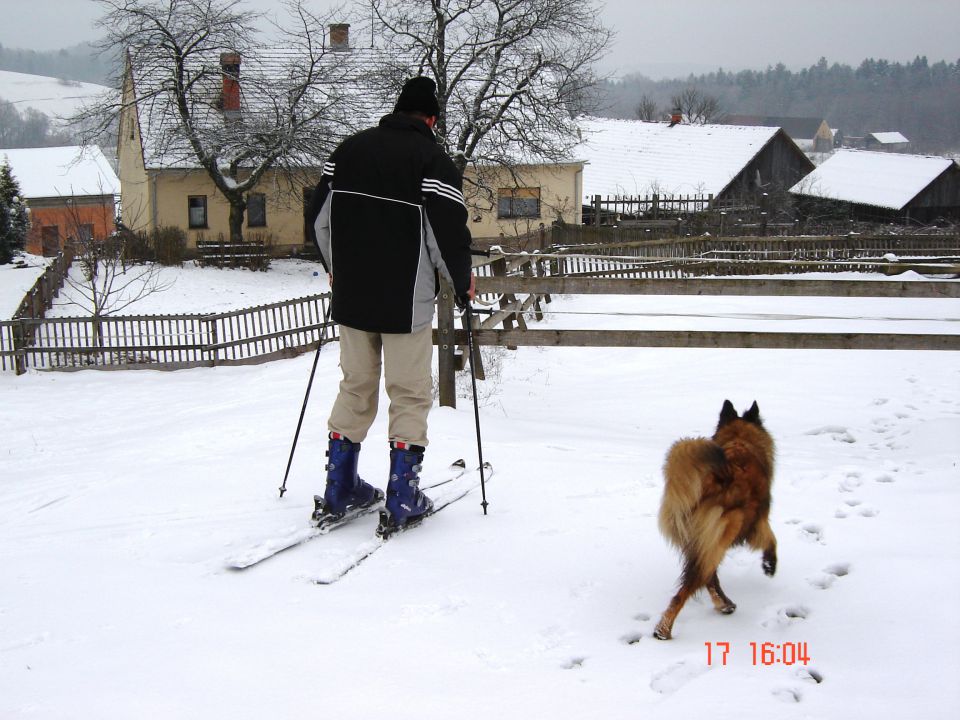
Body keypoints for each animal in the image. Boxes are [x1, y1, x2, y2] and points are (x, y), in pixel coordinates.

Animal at [652, 400, 780, 640]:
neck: (740, 439)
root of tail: (714, 479)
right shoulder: (758, 520)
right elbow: (771, 539)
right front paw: (769, 565)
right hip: (724, 531)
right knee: (689, 586)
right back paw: (663, 630)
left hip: (700, 540)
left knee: (707, 576)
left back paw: (725, 604)